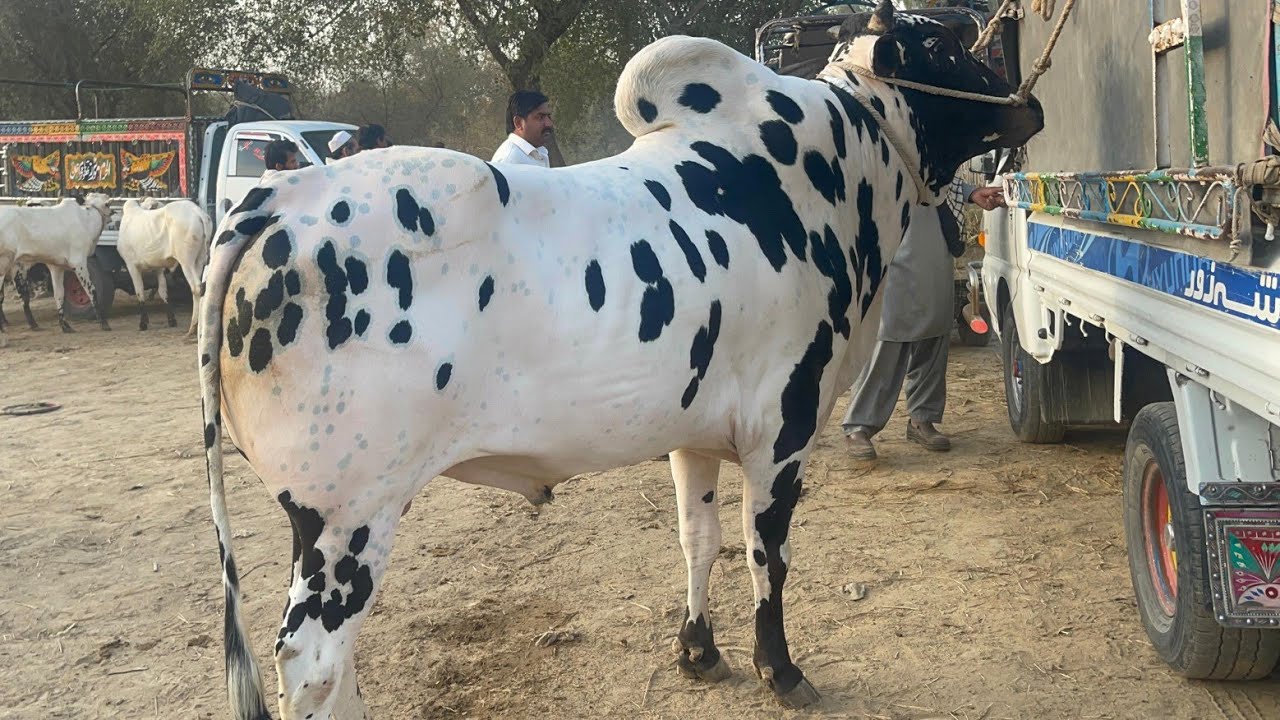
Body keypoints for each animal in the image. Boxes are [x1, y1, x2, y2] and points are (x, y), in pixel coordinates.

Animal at [118, 197, 213, 335]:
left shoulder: (131, 266)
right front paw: (171, 320)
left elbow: (139, 292)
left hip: (186, 261)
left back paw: (193, 327)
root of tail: (197, 212)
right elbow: (163, 292)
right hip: (199, 260)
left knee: (196, 287)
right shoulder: (159, 268)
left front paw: (143, 324)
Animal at [198, 4, 1043, 718]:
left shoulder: (693, 433)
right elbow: (766, 553)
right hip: (351, 517)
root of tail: (279, 197)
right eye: (944, 48)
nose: (1026, 102)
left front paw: (698, 651)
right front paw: (781, 670)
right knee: (312, 661)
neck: (833, 170)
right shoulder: (784, 429)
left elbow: (699, 538)